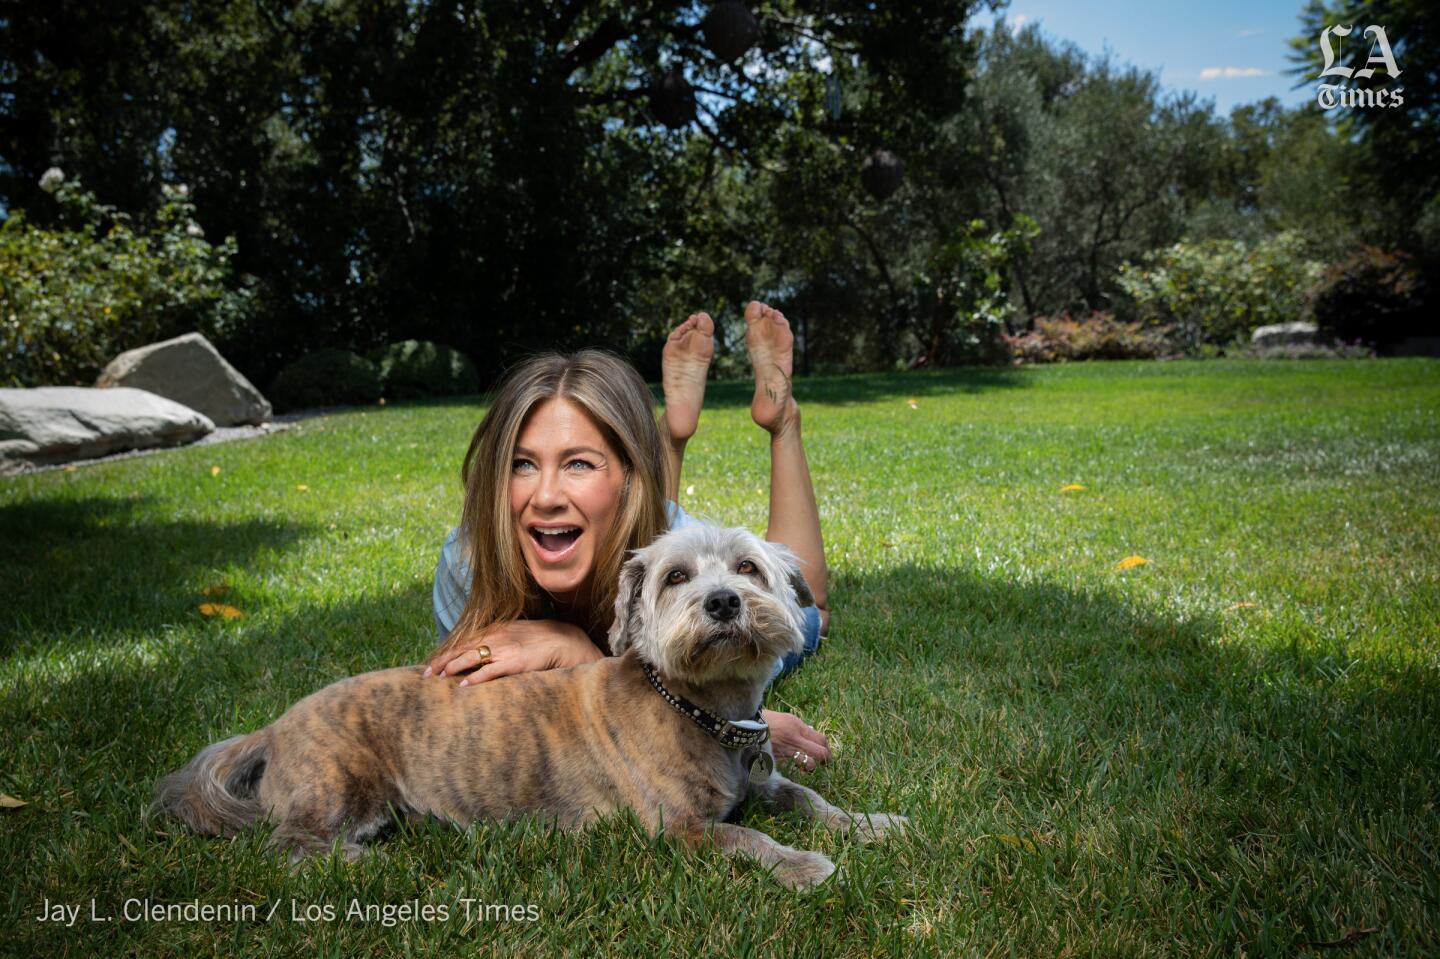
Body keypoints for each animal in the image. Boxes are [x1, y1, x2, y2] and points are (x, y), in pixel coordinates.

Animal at [151, 524, 904, 887]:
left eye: (748, 567)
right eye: (675, 577)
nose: (722, 601)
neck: (699, 708)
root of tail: (273, 727)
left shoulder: (765, 781)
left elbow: (810, 799)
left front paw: (872, 824)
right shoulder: (679, 830)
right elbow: (747, 838)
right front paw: (804, 865)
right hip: (341, 789)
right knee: (291, 847)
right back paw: (373, 865)